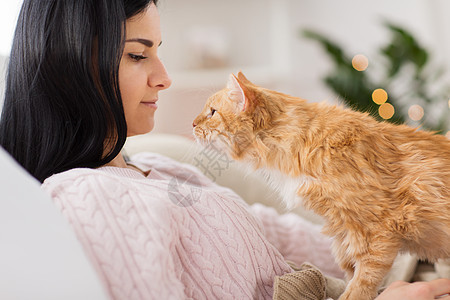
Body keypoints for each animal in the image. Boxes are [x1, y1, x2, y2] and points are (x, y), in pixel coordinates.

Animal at [192, 72, 450, 300]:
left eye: (212, 112)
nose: (192, 123)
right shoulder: (344, 231)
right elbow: (349, 271)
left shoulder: (379, 226)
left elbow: (363, 278)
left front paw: (352, 295)